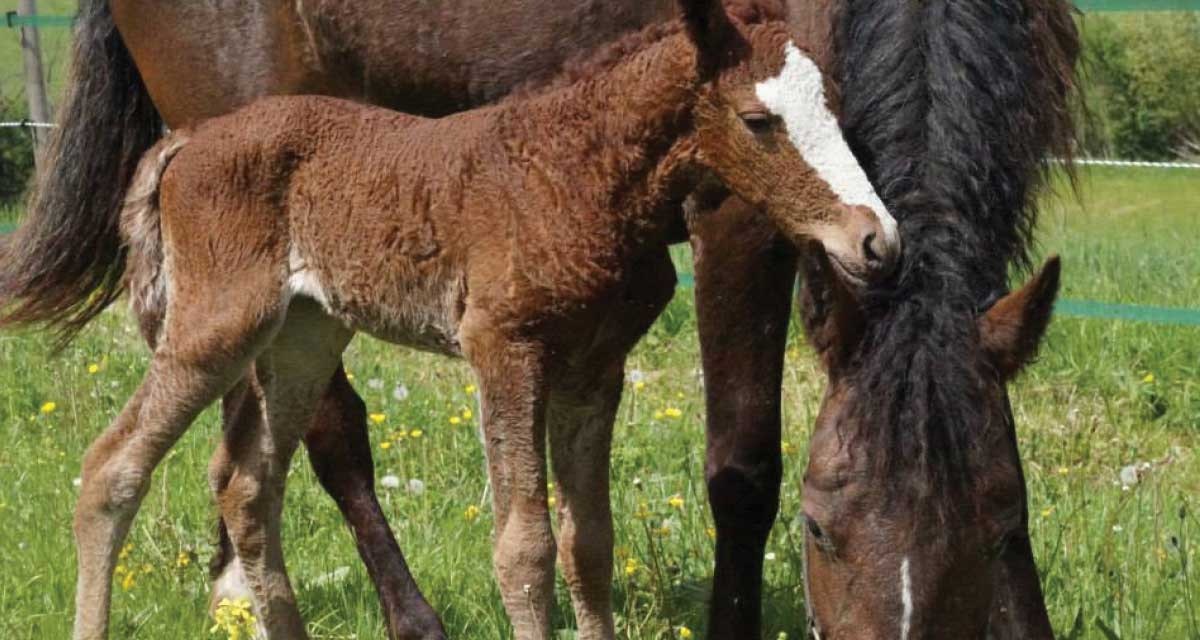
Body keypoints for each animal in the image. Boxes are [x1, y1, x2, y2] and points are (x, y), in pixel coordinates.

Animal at [0, 0, 1078, 637]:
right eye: (759, 121)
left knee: (248, 479)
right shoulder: (506, 350)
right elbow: (528, 547)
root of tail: (185, 146)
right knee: (121, 466)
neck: (568, 167)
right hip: (216, 320)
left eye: (1004, 523)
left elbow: (585, 539)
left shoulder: (595, 365)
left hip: (301, 330)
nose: (874, 240)